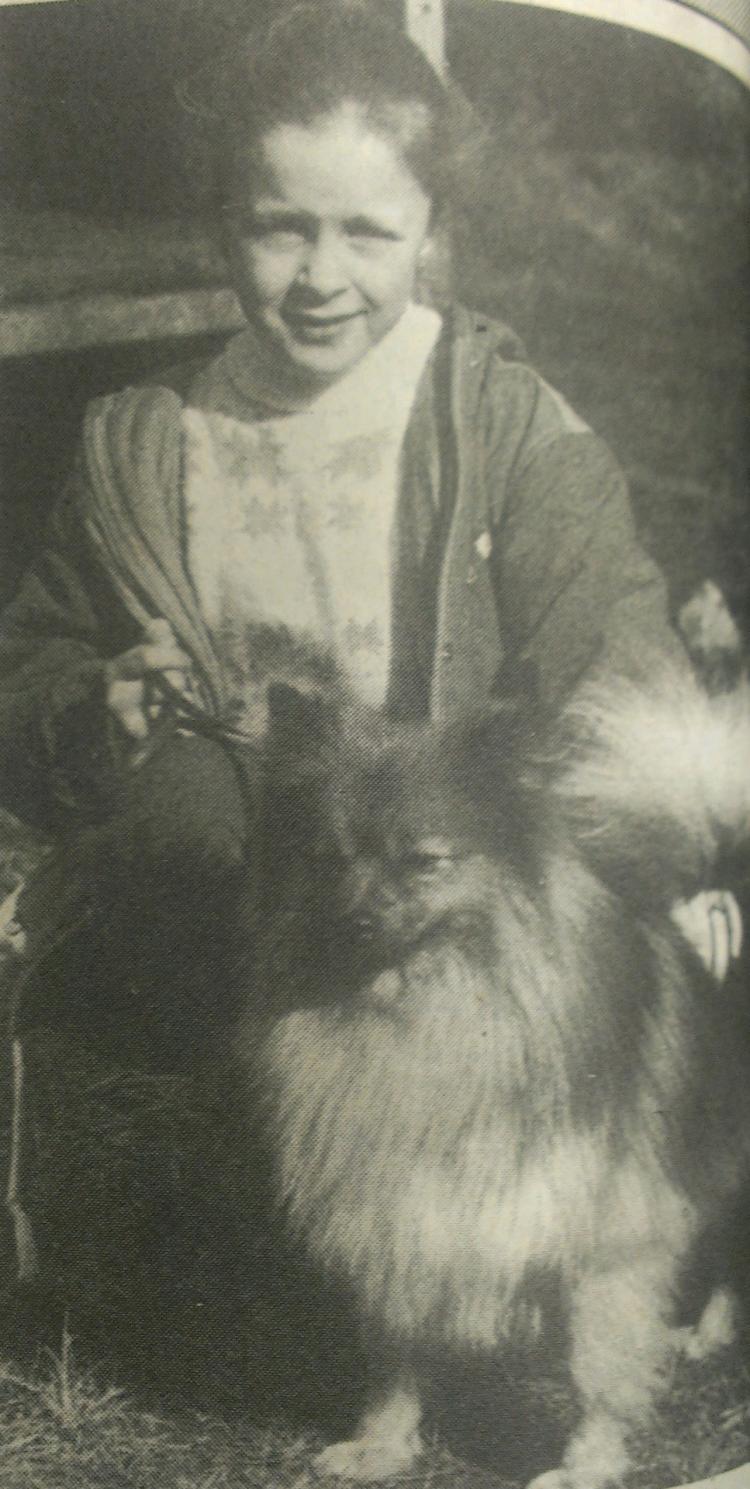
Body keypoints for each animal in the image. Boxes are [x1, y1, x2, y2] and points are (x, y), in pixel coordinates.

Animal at [241, 661, 750, 1488]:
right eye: (328, 858)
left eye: (424, 860)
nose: (354, 920)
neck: (431, 1014)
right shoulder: (399, 1215)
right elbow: (393, 1353)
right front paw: (382, 1443)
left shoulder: (609, 1239)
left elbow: (596, 1368)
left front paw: (586, 1464)